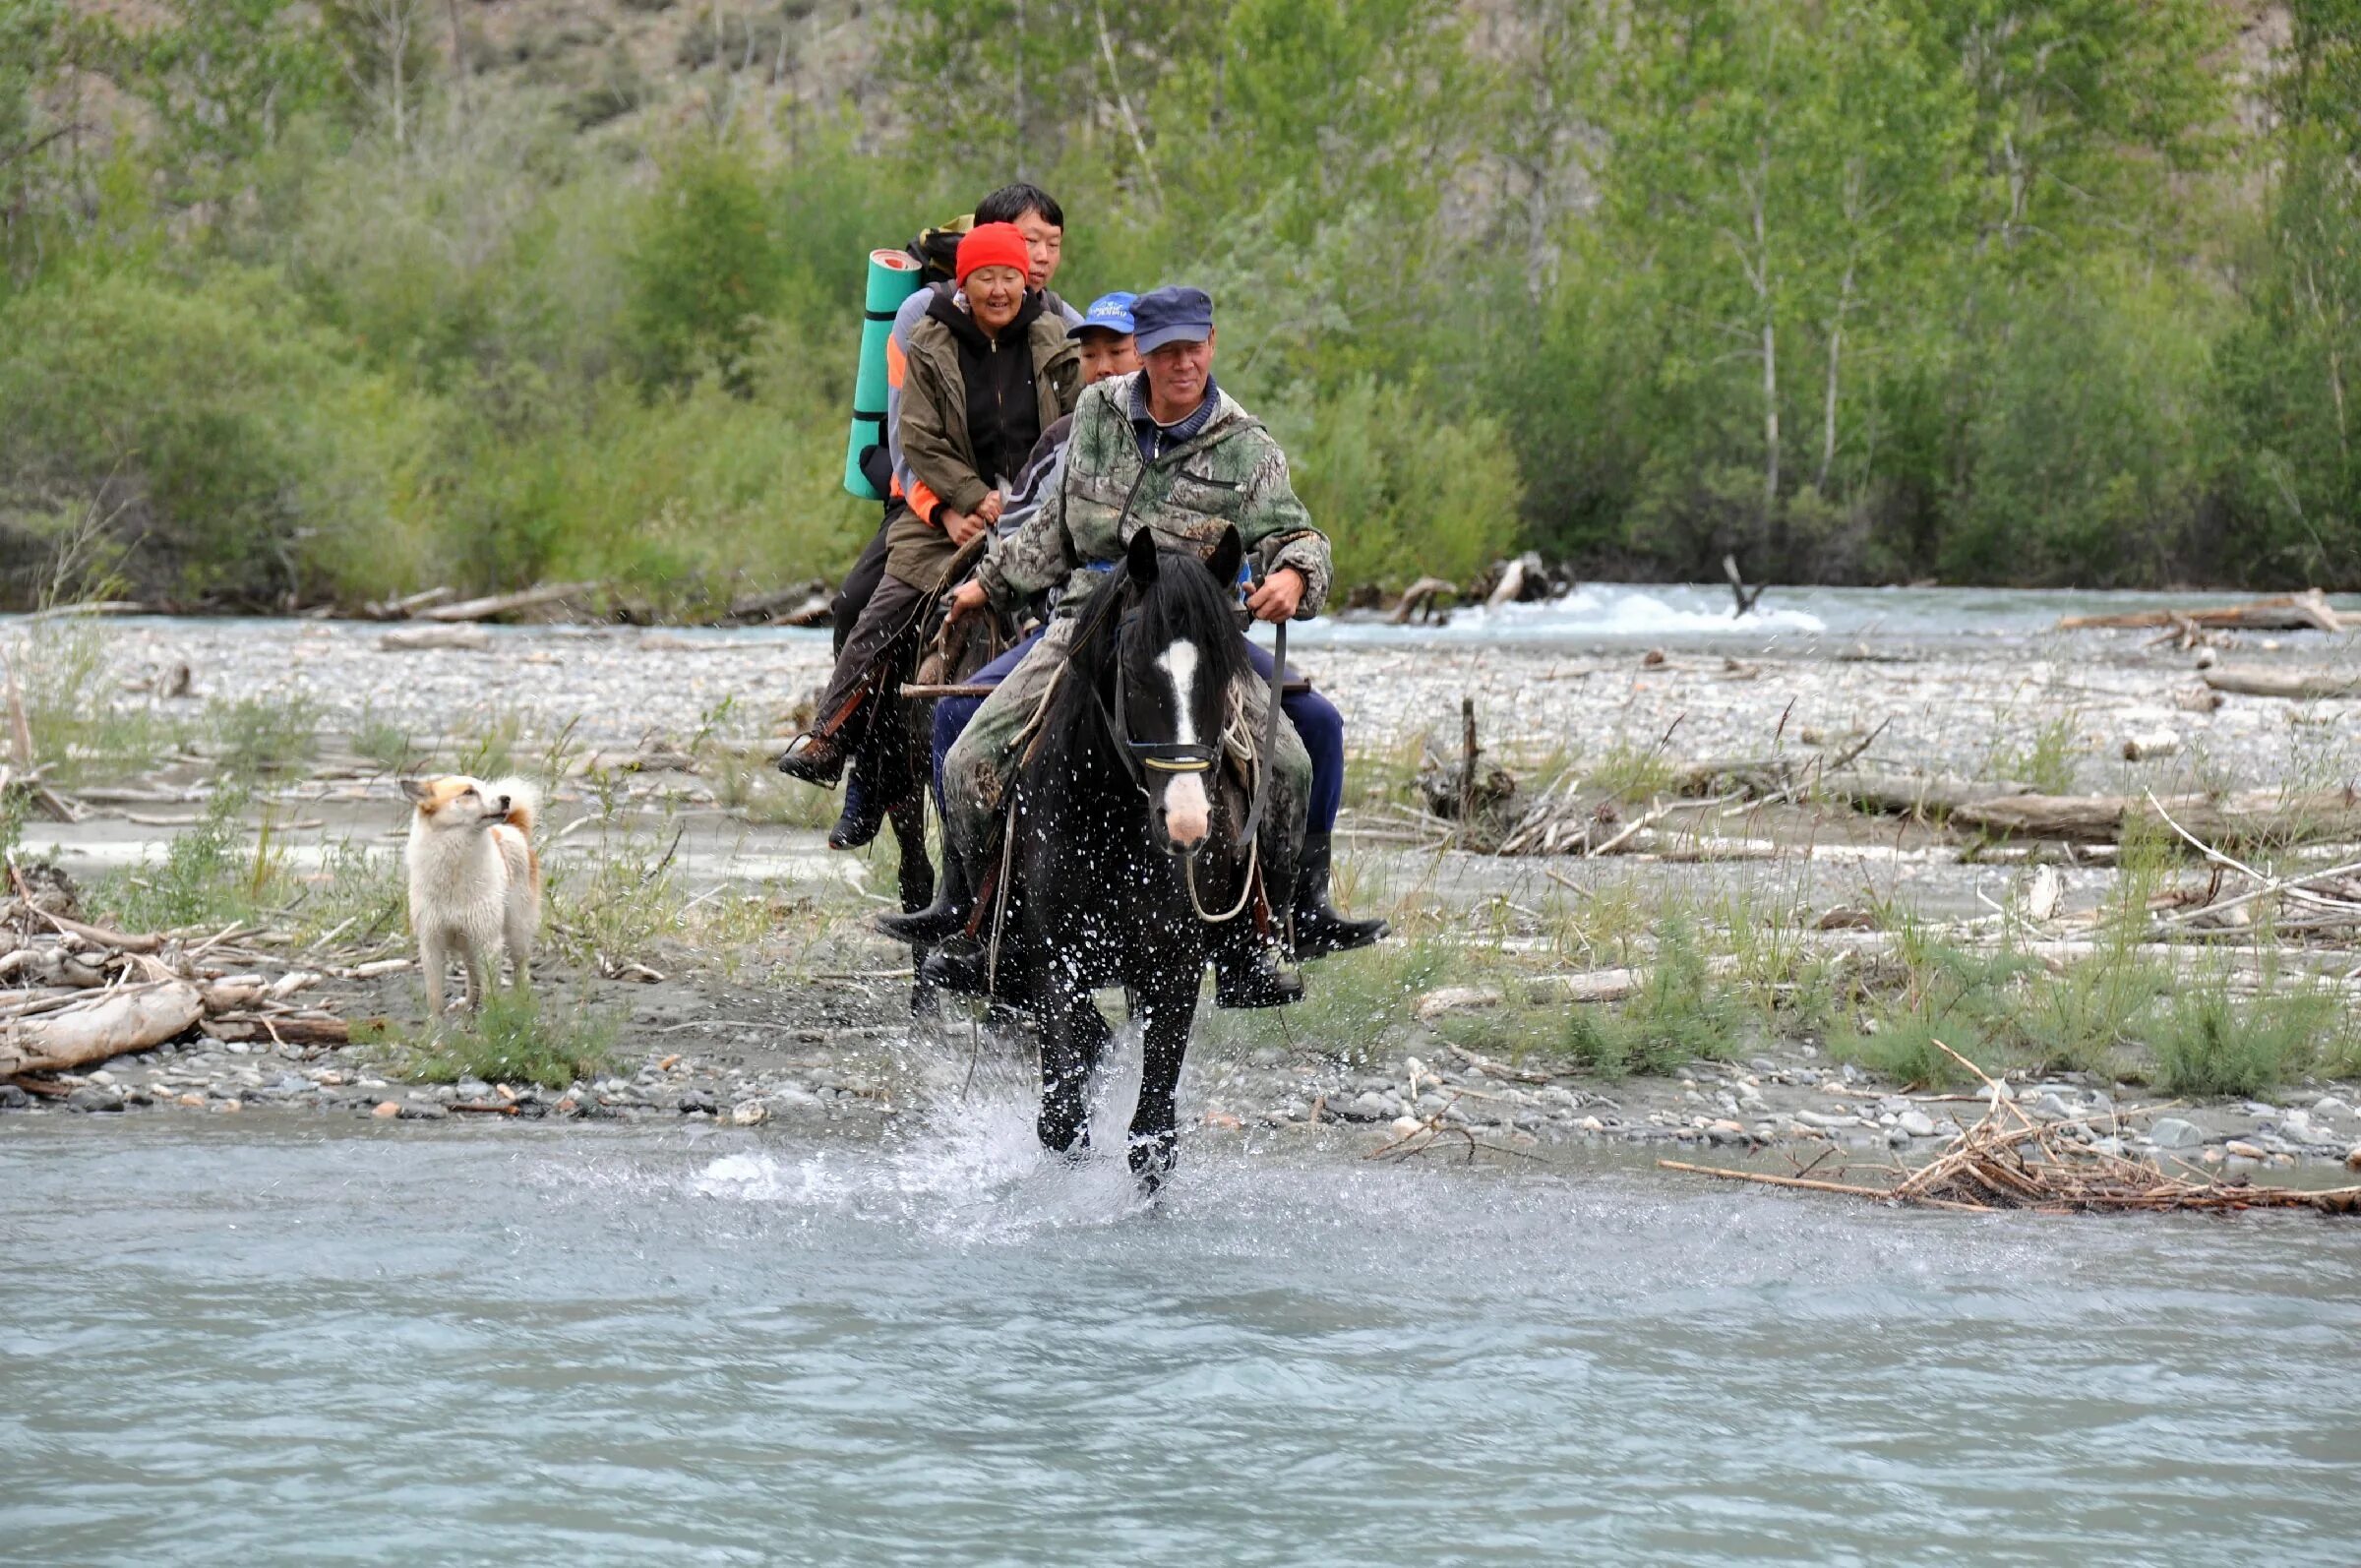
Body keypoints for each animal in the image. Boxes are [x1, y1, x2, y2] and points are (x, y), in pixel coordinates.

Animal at [401, 769, 540, 1015]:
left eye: (484, 788)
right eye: (469, 792)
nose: (506, 799)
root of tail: (514, 829)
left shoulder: (488, 940)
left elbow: (491, 990)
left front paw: (492, 1018)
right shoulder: (431, 944)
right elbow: (435, 999)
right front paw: (434, 1026)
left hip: (517, 932)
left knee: (520, 968)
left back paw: (522, 1002)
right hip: (468, 941)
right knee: (473, 974)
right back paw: (468, 1005)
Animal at [987, 526, 1302, 1189]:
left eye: (1226, 668)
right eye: (1132, 665)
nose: (1186, 824)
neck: (1110, 824)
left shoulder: (1175, 966)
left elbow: (1152, 1136)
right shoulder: (1054, 957)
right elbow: (1062, 1118)